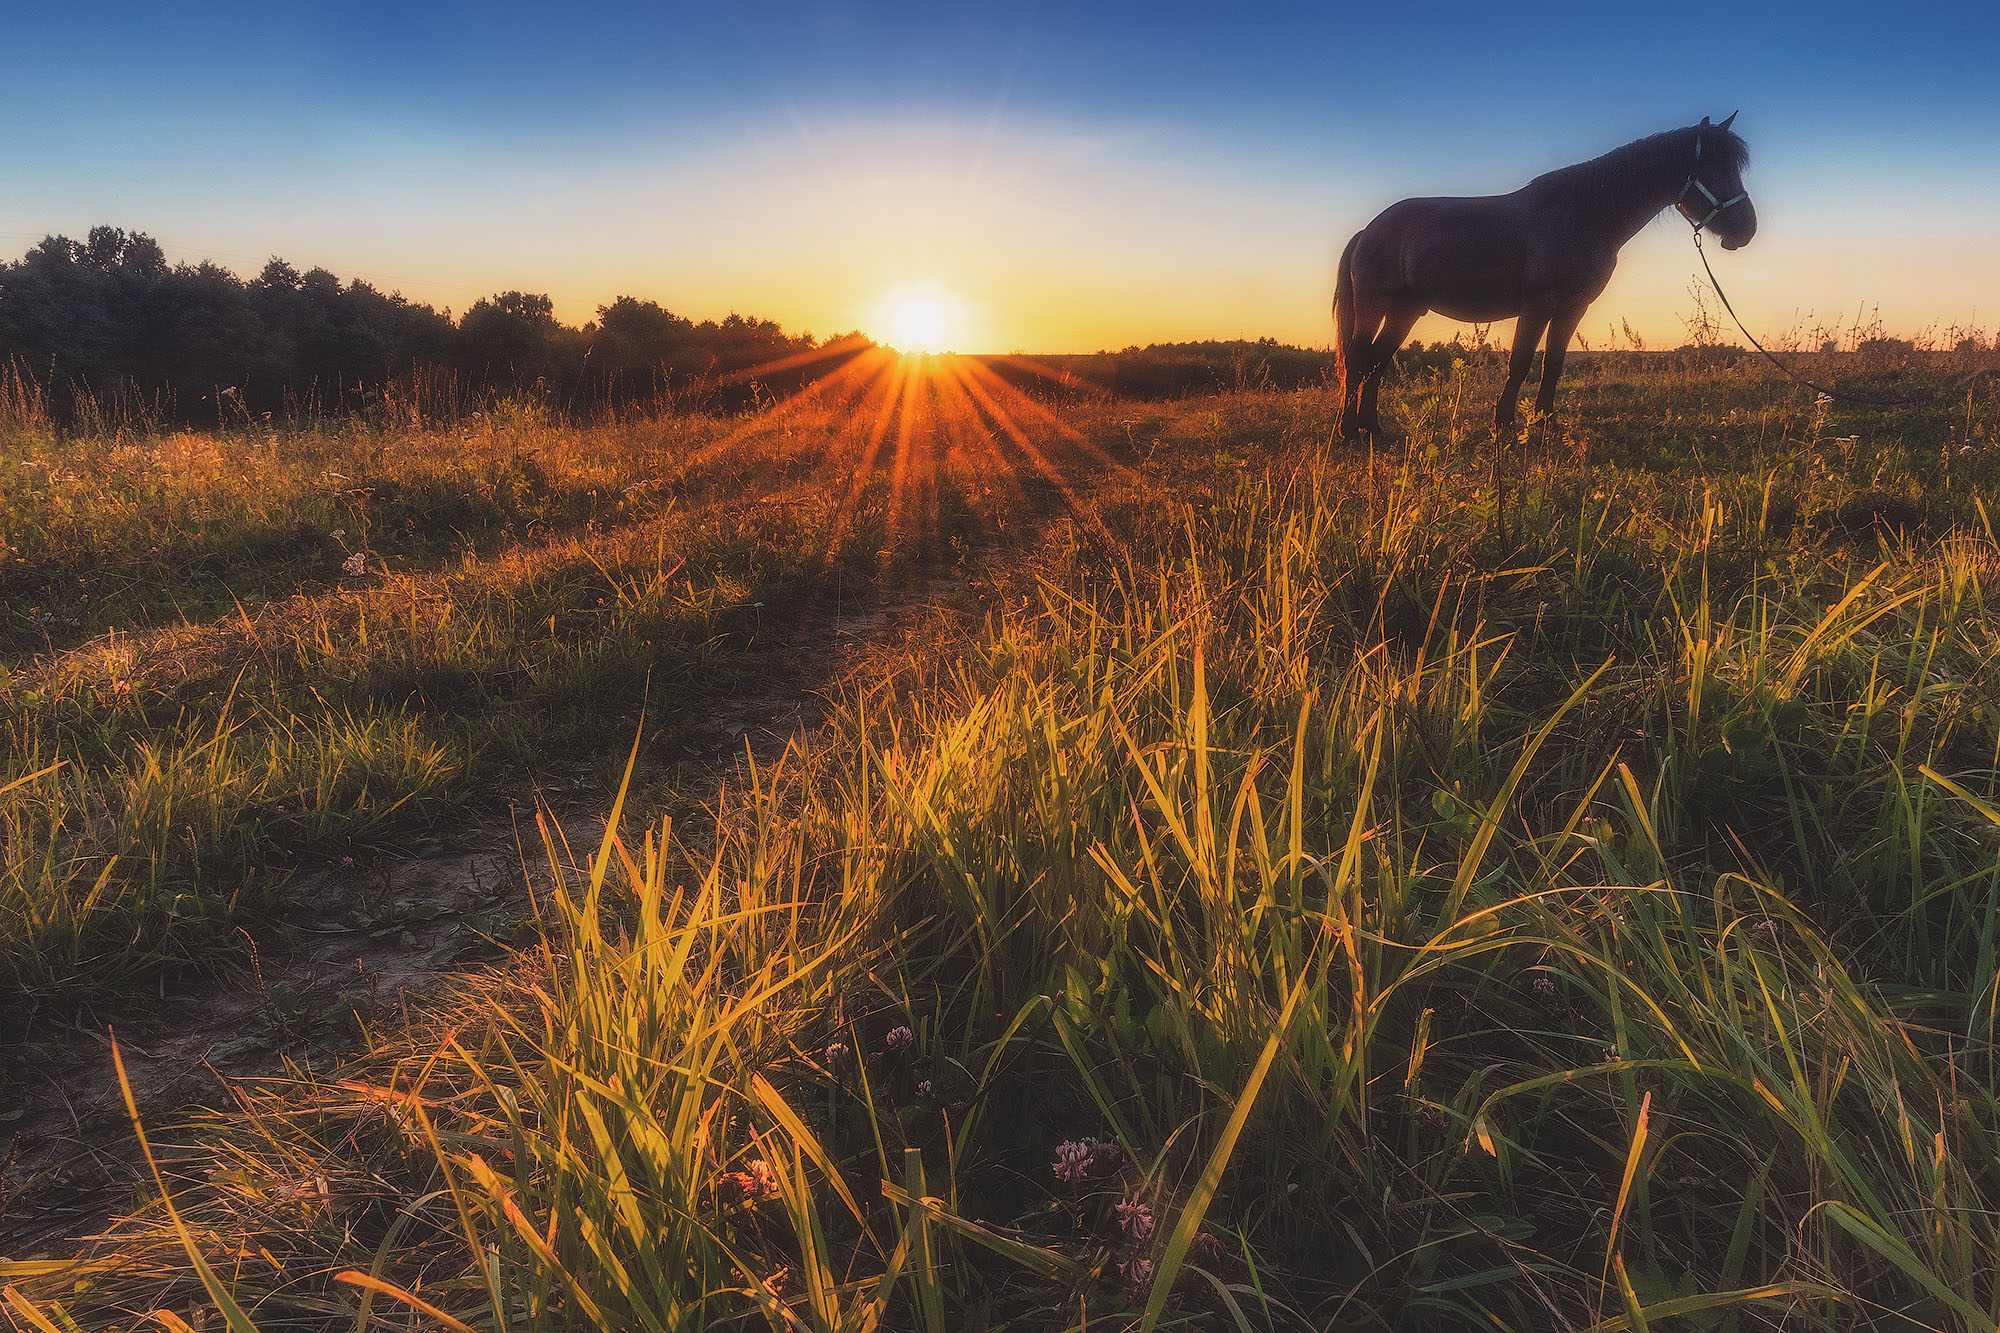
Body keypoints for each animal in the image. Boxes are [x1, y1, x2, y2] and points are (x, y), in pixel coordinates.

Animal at [1336, 113, 1760, 440]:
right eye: (1716, 169)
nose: (1746, 230)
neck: (1581, 215)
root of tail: (1368, 230)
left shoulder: (1573, 307)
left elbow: (1551, 364)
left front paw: (1545, 423)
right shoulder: (1539, 304)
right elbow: (1521, 361)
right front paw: (1504, 425)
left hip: (1406, 311)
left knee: (1376, 363)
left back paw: (1373, 429)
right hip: (1373, 306)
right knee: (1357, 361)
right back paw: (1348, 432)